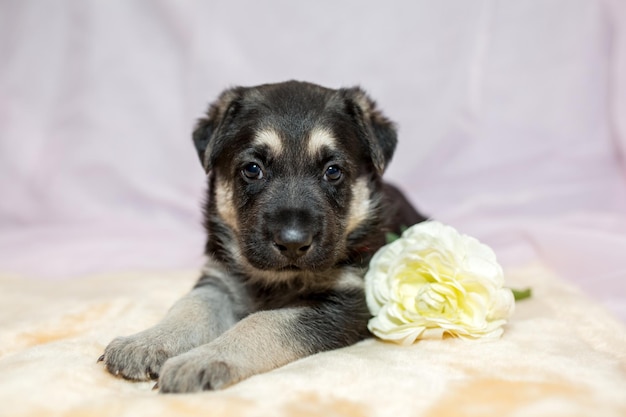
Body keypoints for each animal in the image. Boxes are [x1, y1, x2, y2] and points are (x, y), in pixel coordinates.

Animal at [100, 79, 426, 392]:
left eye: (333, 172)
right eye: (252, 169)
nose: (293, 242)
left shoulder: (345, 303)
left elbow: (263, 321)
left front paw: (203, 359)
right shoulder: (220, 280)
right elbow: (190, 306)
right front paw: (146, 342)